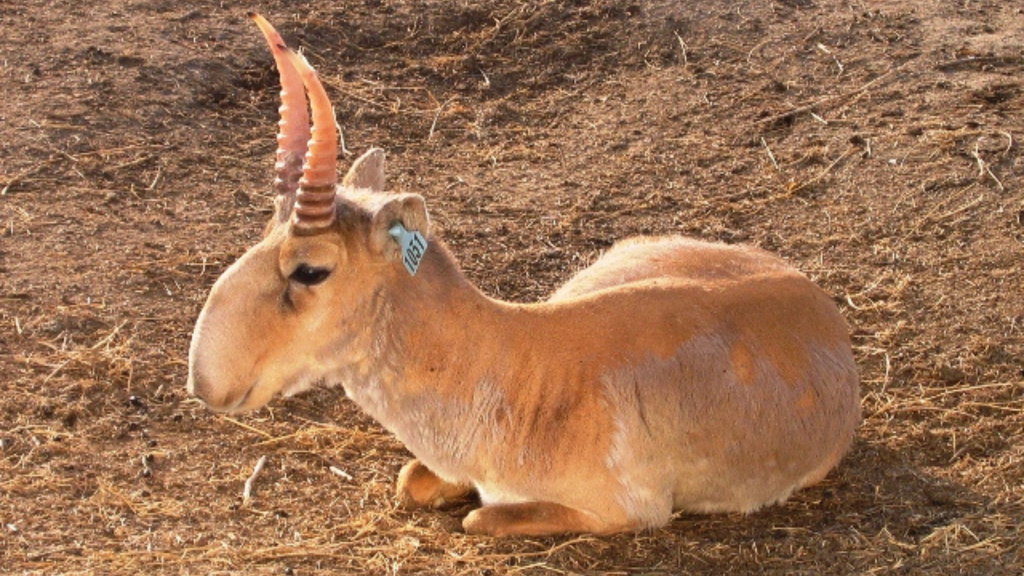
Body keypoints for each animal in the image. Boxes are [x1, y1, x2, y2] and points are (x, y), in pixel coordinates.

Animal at [188, 15, 860, 537]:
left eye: (311, 268)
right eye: (264, 231)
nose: (206, 381)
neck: (516, 364)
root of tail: (818, 304)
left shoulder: (625, 512)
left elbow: (478, 517)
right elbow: (412, 480)